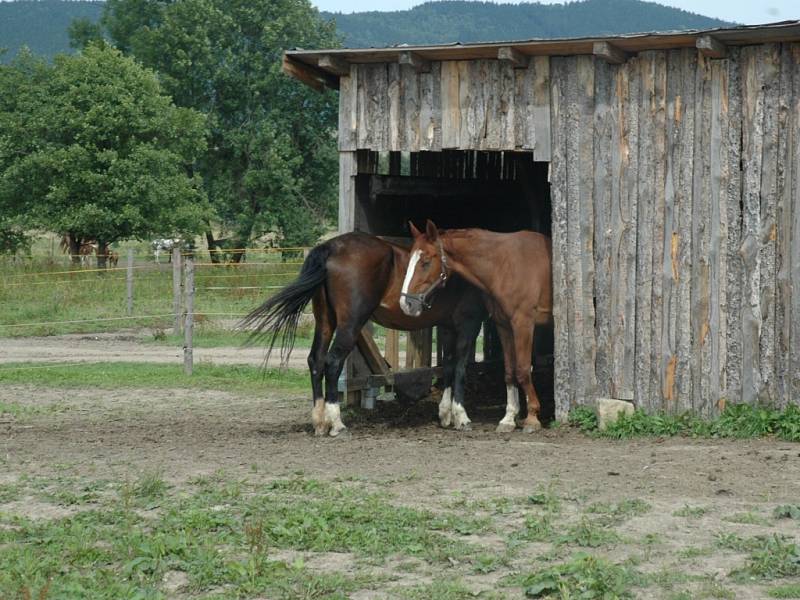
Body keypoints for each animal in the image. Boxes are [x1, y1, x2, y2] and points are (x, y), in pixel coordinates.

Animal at [241, 231, 484, 436]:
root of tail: (331, 247)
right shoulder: (468, 323)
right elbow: (460, 367)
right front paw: (461, 417)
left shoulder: (448, 326)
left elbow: (449, 366)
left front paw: (445, 415)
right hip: (350, 325)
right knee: (332, 362)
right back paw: (337, 423)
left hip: (325, 321)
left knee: (316, 361)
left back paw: (320, 422)